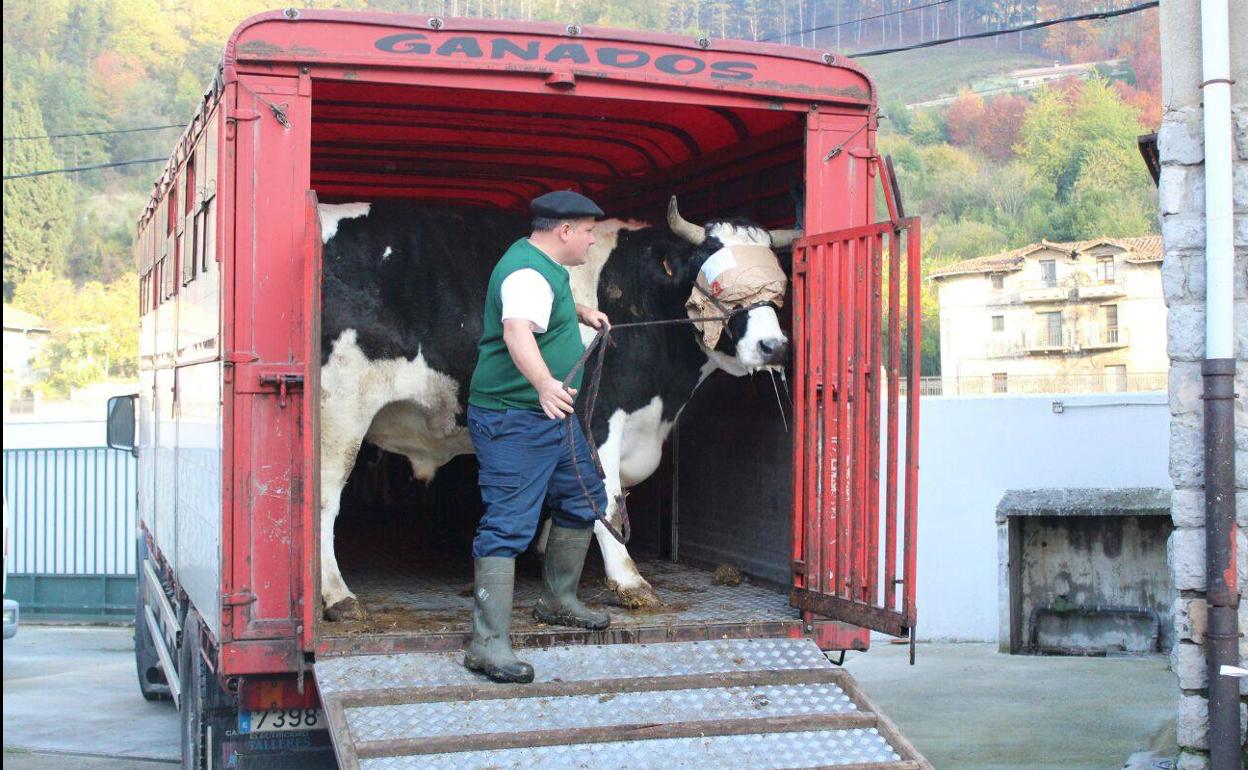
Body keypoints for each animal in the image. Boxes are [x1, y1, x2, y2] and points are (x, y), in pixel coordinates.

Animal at [321, 197, 788, 618]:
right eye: (713, 281)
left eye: (779, 290)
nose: (775, 346)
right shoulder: (598, 417)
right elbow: (606, 498)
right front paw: (630, 581)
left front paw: (547, 554)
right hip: (340, 408)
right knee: (325, 496)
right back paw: (337, 597)